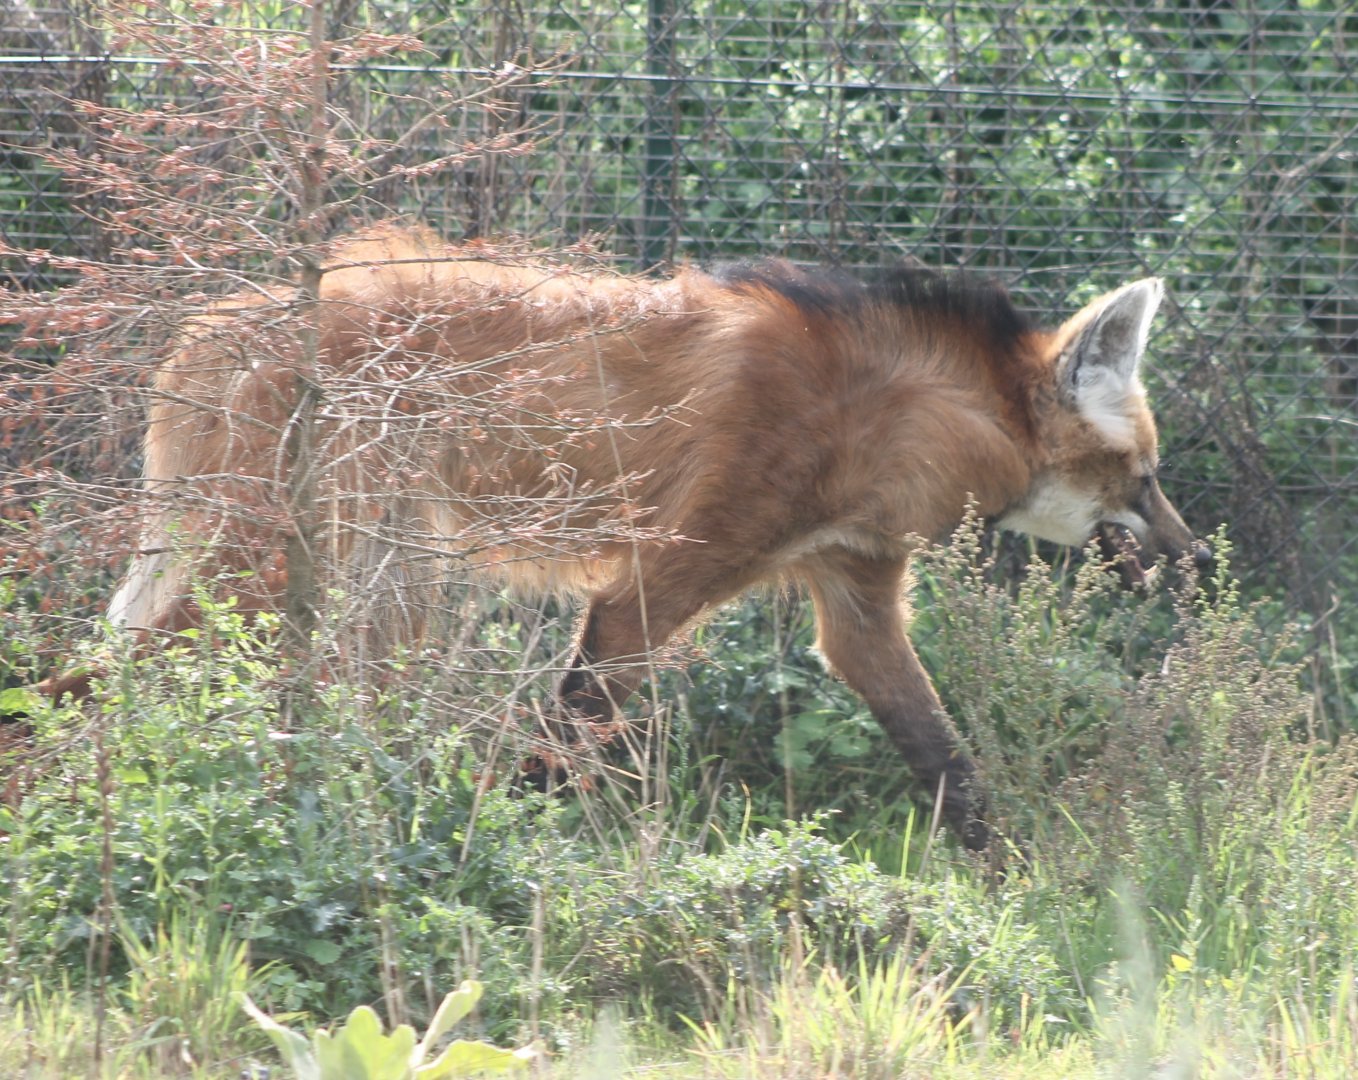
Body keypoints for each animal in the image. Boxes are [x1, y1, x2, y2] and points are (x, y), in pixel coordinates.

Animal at [89, 226, 1207, 850]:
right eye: (1146, 480)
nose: (1196, 558)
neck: (897, 413)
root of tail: (218, 320)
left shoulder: (852, 591)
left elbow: (943, 755)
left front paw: (1011, 878)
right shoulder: (658, 581)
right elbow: (564, 735)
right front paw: (509, 851)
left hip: (376, 579)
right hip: (274, 565)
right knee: (118, 676)